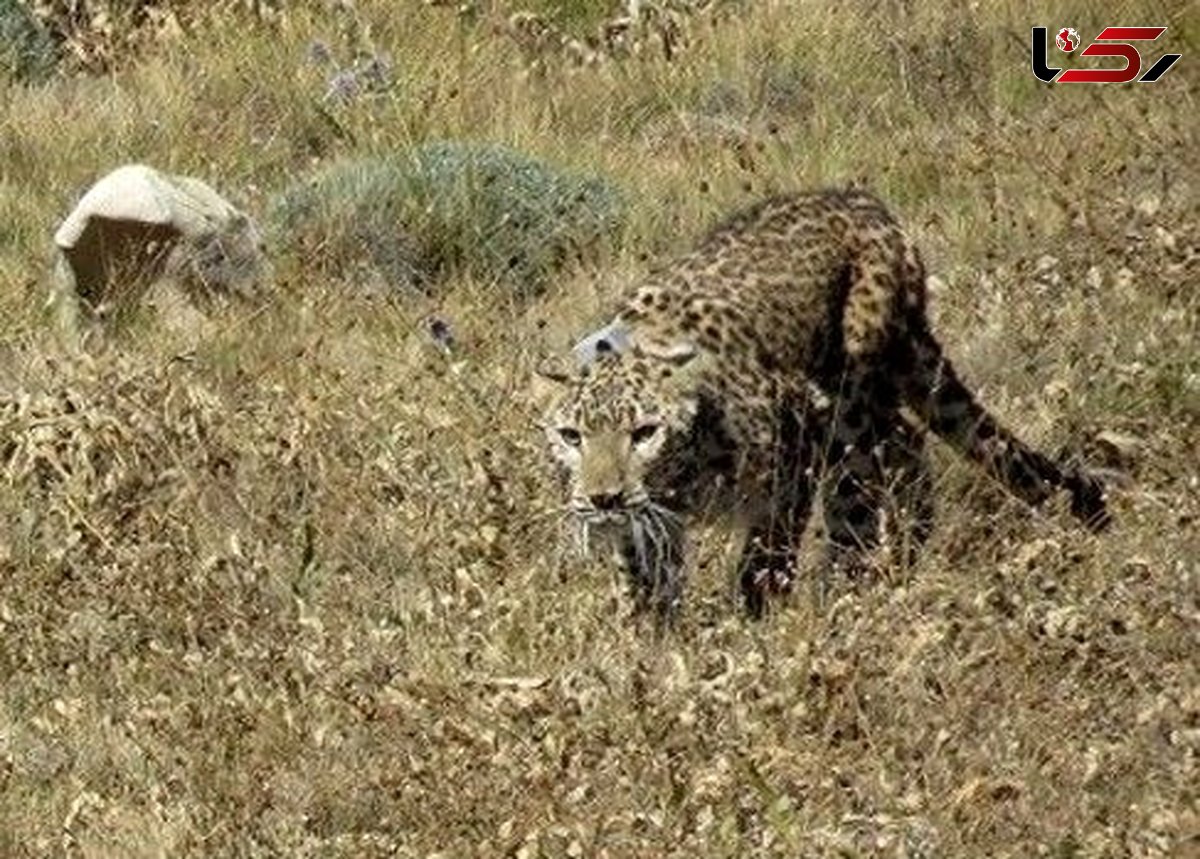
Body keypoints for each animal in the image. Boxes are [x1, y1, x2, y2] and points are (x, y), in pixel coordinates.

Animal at [540, 188, 1108, 619]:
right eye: (572, 436)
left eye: (645, 432)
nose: (604, 499)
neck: (680, 479)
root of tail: (863, 201)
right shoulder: (648, 523)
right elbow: (647, 584)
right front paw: (654, 646)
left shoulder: (793, 456)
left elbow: (764, 560)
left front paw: (755, 622)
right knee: (904, 441)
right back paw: (901, 552)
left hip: (850, 396)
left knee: (869, 475)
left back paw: (851, 582)